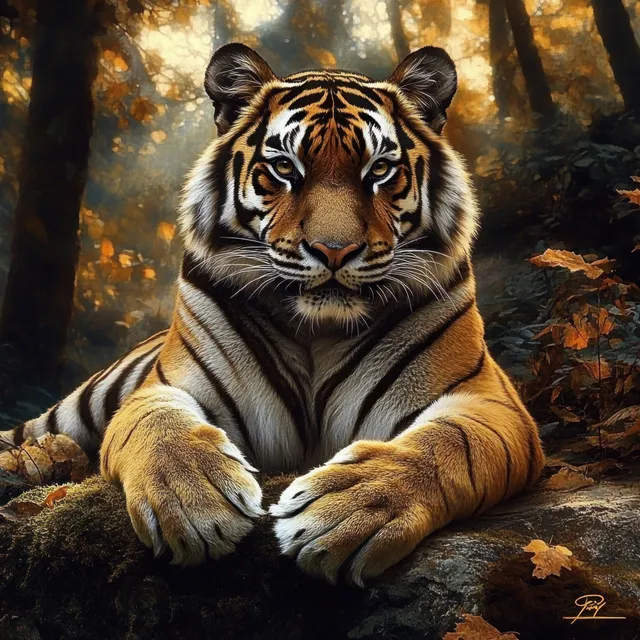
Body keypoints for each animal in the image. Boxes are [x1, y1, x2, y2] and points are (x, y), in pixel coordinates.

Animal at [1, 43, 544, 586]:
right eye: (285, 168)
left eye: (379, 171)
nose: (333, 250)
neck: (318, 330)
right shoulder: (162, 388)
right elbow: (161, 430)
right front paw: (194, 503)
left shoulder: (487, 402)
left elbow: (443, 447)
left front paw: (345, 511)